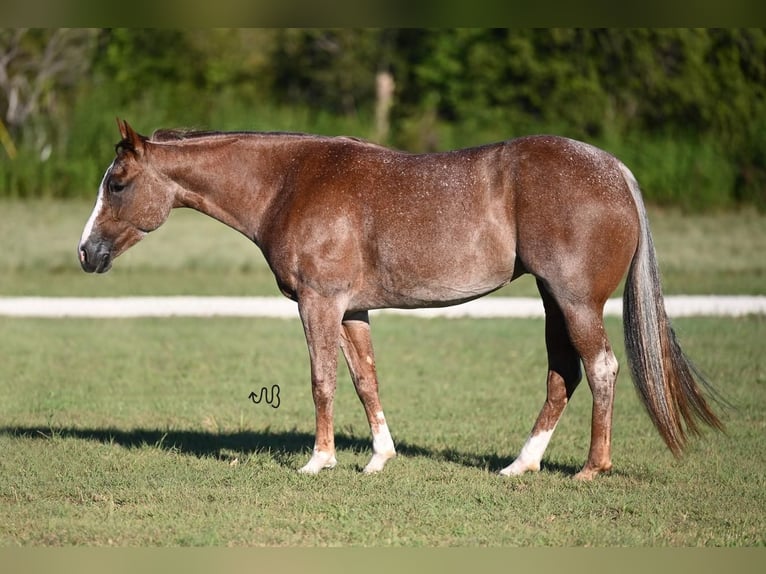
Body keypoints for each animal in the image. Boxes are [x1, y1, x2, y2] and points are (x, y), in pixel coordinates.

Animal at [79, 118, 728, 482]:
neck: (290, 181)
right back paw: (521, 464)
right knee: (562, 374)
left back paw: (592, 468)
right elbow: (365, 380)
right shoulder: (351, 309)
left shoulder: (318, 303)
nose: (86, 254)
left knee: (601, 368)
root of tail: (614, 170)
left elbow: (322, 380)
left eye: (118, 183)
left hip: (575, 302)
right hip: (552, 301)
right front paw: (377, 459)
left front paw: (318, 462)